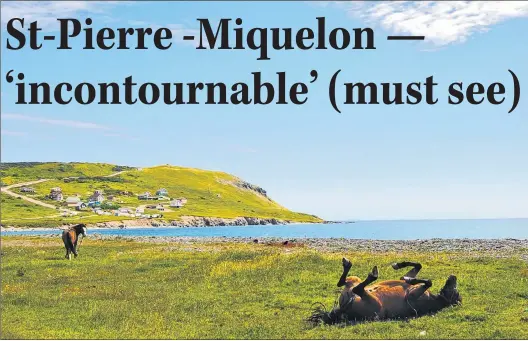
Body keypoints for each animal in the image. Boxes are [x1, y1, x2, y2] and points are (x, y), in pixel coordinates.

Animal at [310, 258, 462, 324]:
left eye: (456, 292)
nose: (454, 276)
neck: (435, 299)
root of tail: (343, 311)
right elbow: (417, 266)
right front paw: (398, 265)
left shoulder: (412, 296)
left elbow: (427, 281)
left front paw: (409, 279)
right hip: (354, 280)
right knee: (344, 283)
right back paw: (349, 264)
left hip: (374, 303)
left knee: (357, 288)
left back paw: (373, 275)